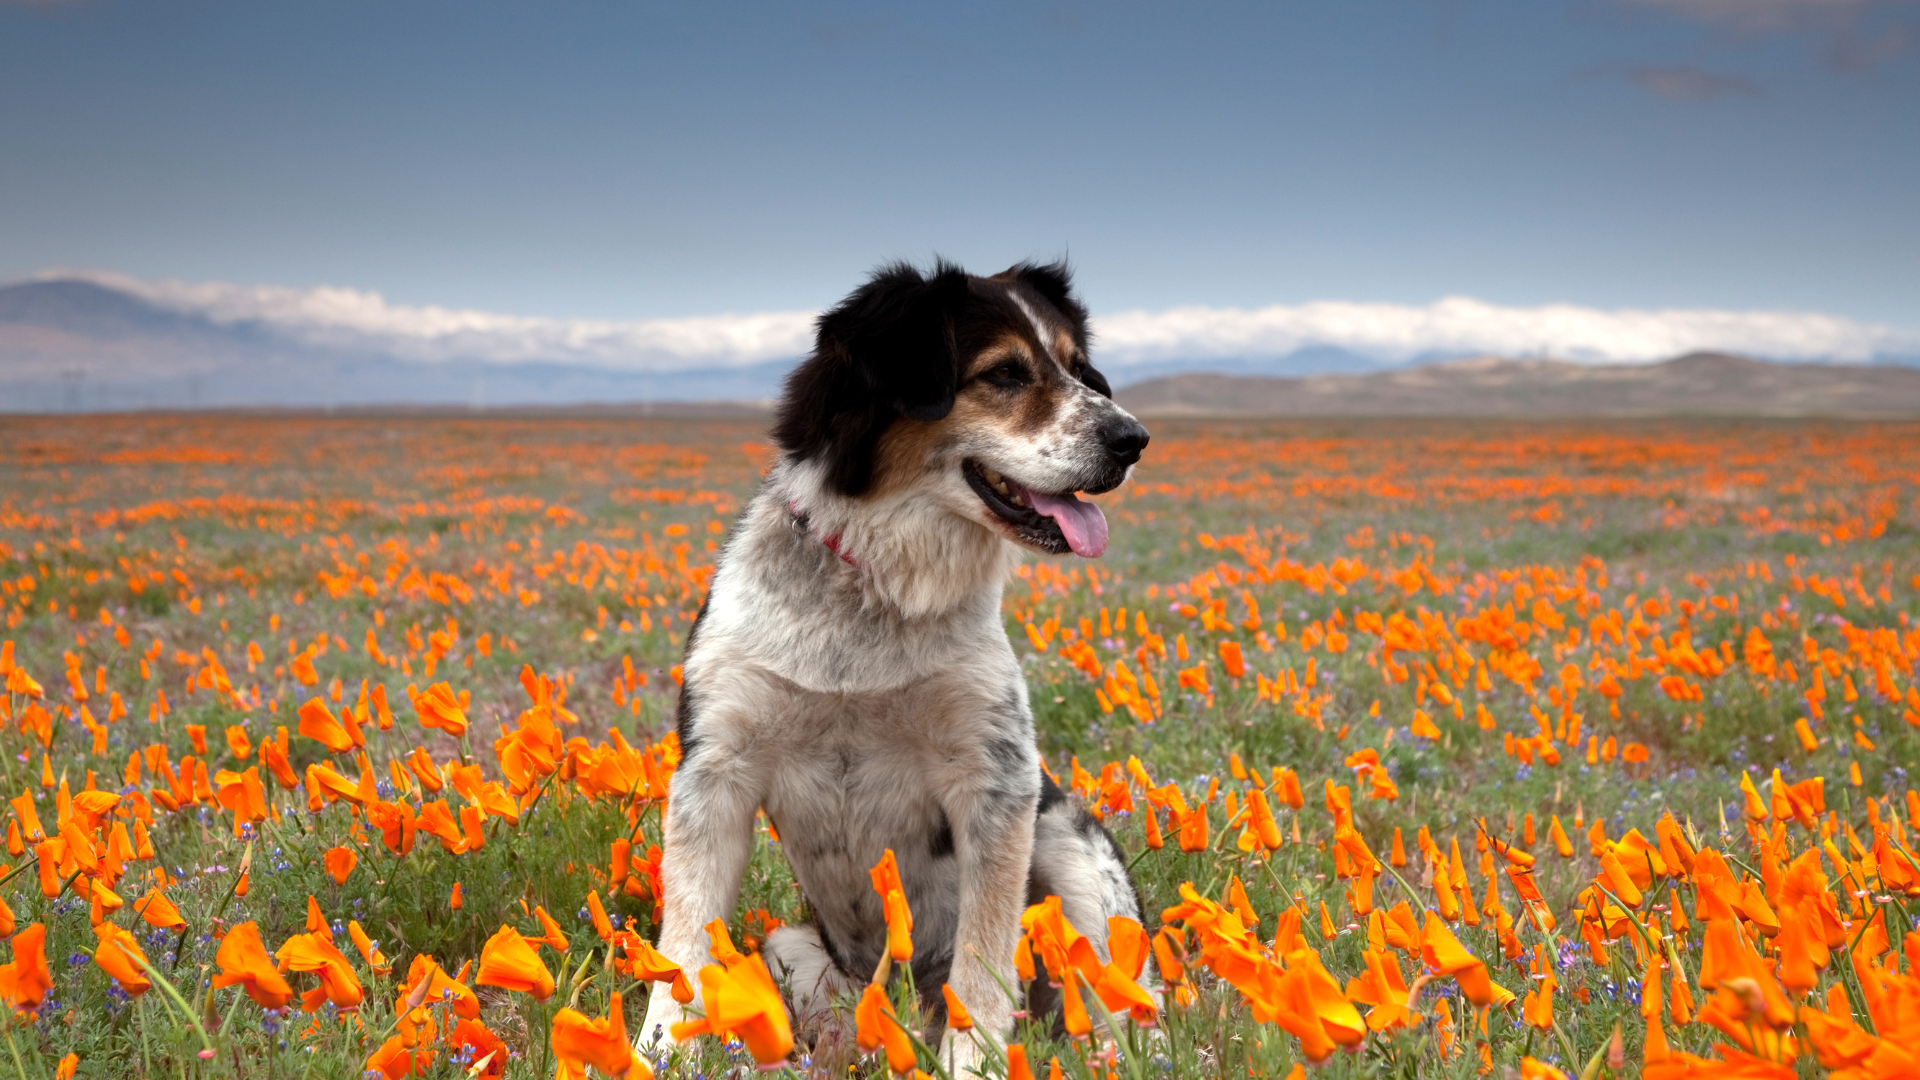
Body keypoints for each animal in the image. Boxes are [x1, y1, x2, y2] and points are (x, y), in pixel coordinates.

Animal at [645, 255, 1144, 1060]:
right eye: (1004, 373)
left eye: (1079, 370)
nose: (1134, 439)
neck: (879, 591)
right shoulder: (716, 767)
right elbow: (683, 950)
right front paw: (655, 1052)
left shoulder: (997, 782)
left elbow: (983, 967)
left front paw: (976, 1067)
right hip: (796, 948)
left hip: (1072, 849)